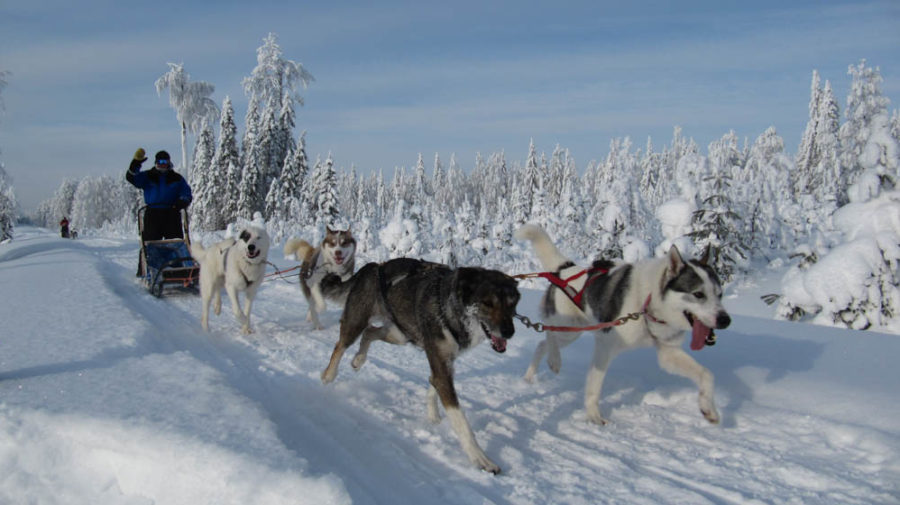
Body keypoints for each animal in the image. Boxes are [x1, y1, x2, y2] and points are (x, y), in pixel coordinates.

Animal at [318, 258, 516, 474]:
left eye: (512, 303)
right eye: (488, 303)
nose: (509, 332)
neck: (448, 307)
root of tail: (373, 266)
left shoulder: (444, 363)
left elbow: (432, 384)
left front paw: (433, 416)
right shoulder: (441, 365)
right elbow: (461, 421)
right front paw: (480, 459)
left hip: (401, 334)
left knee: (370, 332)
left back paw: (359, 359)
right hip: (356, 323)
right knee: (341, 345)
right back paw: (328, 375)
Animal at [512, 222, 732, 424]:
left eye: (720, 294)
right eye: (698, 294)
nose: (725, 320)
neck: (648, 303)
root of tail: (565, 269)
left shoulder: (668, 353)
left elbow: (706, 374)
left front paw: (709, 409)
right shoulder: (605, 344)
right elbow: (594, 385)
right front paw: (594, 416)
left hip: (573, 332)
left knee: (541, 344)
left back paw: (530, 376)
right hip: (568, 327)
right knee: (548, 333)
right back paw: (554, 360)